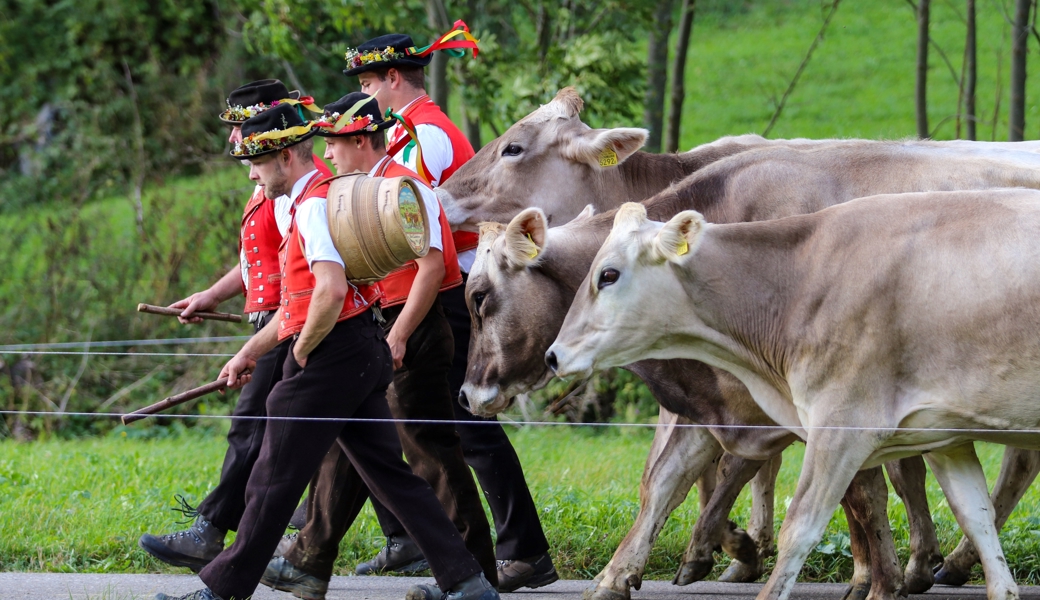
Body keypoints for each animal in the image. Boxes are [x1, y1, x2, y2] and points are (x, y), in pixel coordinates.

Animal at [461, 140, 1040, 598]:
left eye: (479, 296)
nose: (466, 395)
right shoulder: (710, 403)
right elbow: (664, 482)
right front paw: (621, 576)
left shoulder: (821, 414)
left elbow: (853, 495)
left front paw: (877, 579)